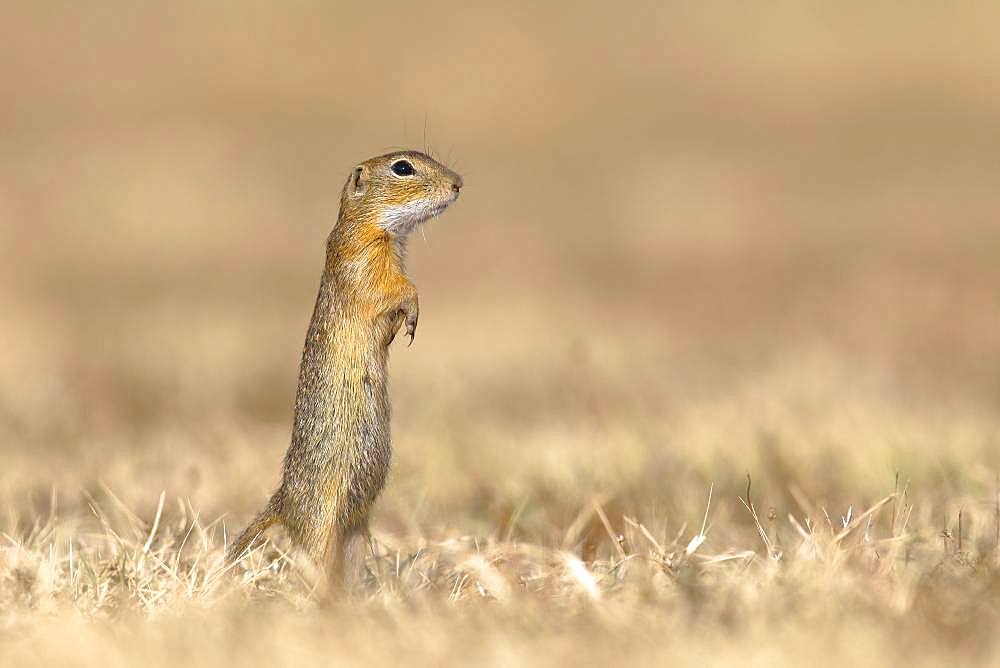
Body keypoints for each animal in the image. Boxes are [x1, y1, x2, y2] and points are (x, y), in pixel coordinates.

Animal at [229, 151, 462, 584]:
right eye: (402, 167)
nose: (458, 183)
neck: (376, 229)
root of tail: (281, 503)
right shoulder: (365, 261)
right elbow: (396, 289)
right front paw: (412, 314)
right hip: (321, 523)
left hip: (354, 532)